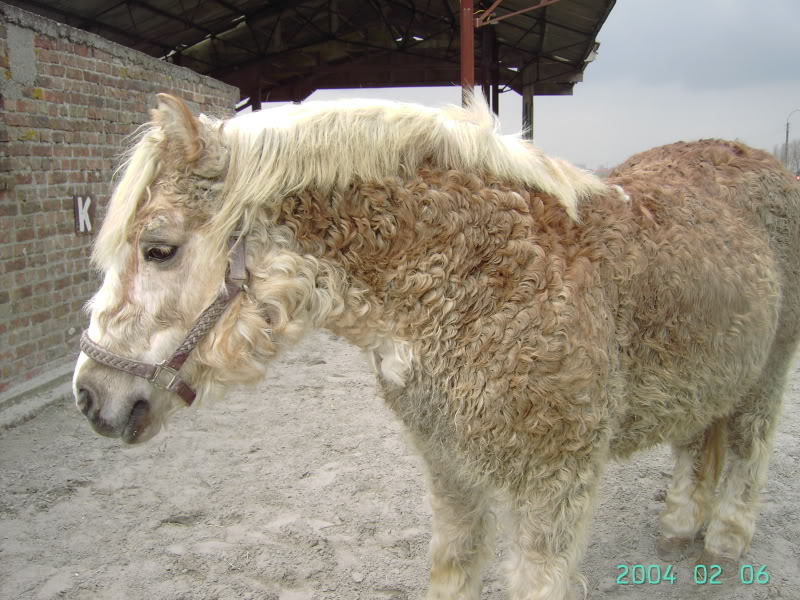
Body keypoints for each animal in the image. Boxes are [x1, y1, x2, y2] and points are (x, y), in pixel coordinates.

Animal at [72, 93, 800, 599]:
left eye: (158, 249)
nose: (88, 395)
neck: (479, 276)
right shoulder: (450, 469)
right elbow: (452, 571)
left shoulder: (556, 487)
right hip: (709, 374)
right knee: (697, 442)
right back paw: (679, 523)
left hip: (768, 370)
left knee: (748, 446)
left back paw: (725, 539)